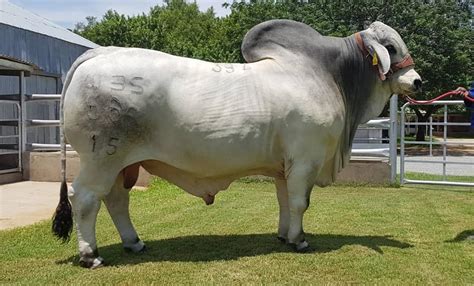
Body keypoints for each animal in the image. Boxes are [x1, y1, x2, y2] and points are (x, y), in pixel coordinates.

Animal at [52, 20, 422, 268]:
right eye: (390, 48)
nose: (417, 81)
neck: (330, 77)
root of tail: (97, 55)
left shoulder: (284, 167)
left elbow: (284, 202)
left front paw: (284, 235)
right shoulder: (305, 160)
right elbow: (300, 203)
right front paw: (300, 240)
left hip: (121, 164)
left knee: (116, 201)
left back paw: (134, 243)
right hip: (101, 158)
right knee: (85, 199)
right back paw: (90, 255)